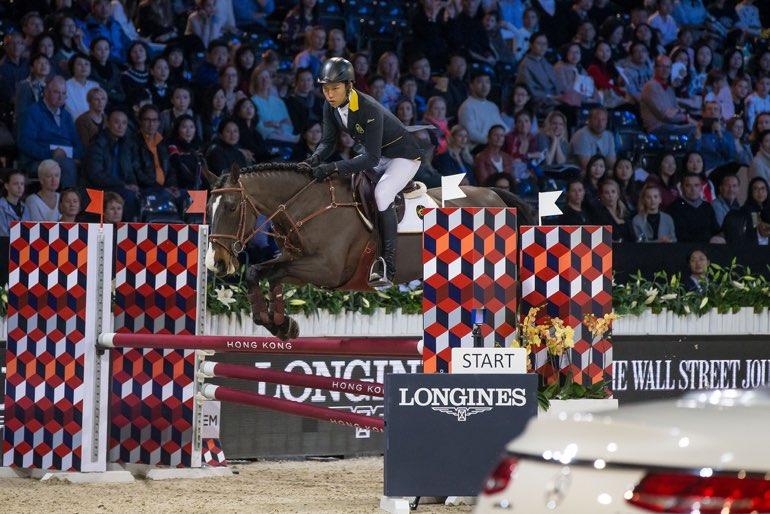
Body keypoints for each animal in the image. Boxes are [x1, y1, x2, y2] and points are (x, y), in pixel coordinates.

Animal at [206, 161, 536, 340]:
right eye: (207, 210)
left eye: (231, 207)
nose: (215, 264)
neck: (305, 205)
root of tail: (494, 195)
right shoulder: (296, 262)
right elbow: (261, 273)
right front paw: (281, 326)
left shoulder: (327, 270)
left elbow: (267, 272)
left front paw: (280, 323)